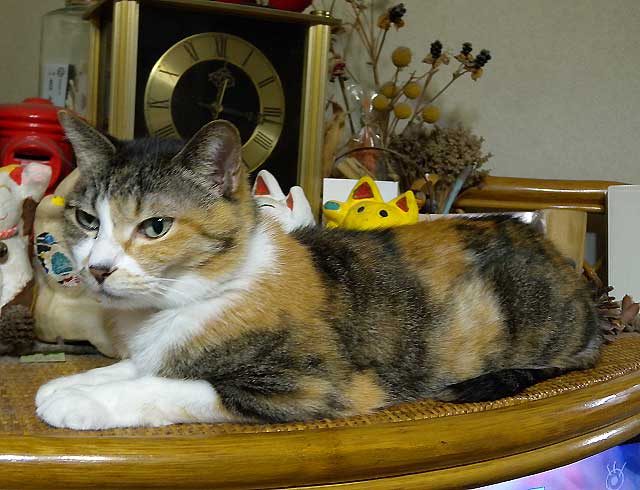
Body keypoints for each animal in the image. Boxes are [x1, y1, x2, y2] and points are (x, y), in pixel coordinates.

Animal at [35, 111, 602, 430]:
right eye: (87, 220)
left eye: (155, 226)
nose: (98, 269)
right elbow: (137, 366)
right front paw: (70, 384)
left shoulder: (315, 386)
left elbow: (172, 386)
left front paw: (82, 403)